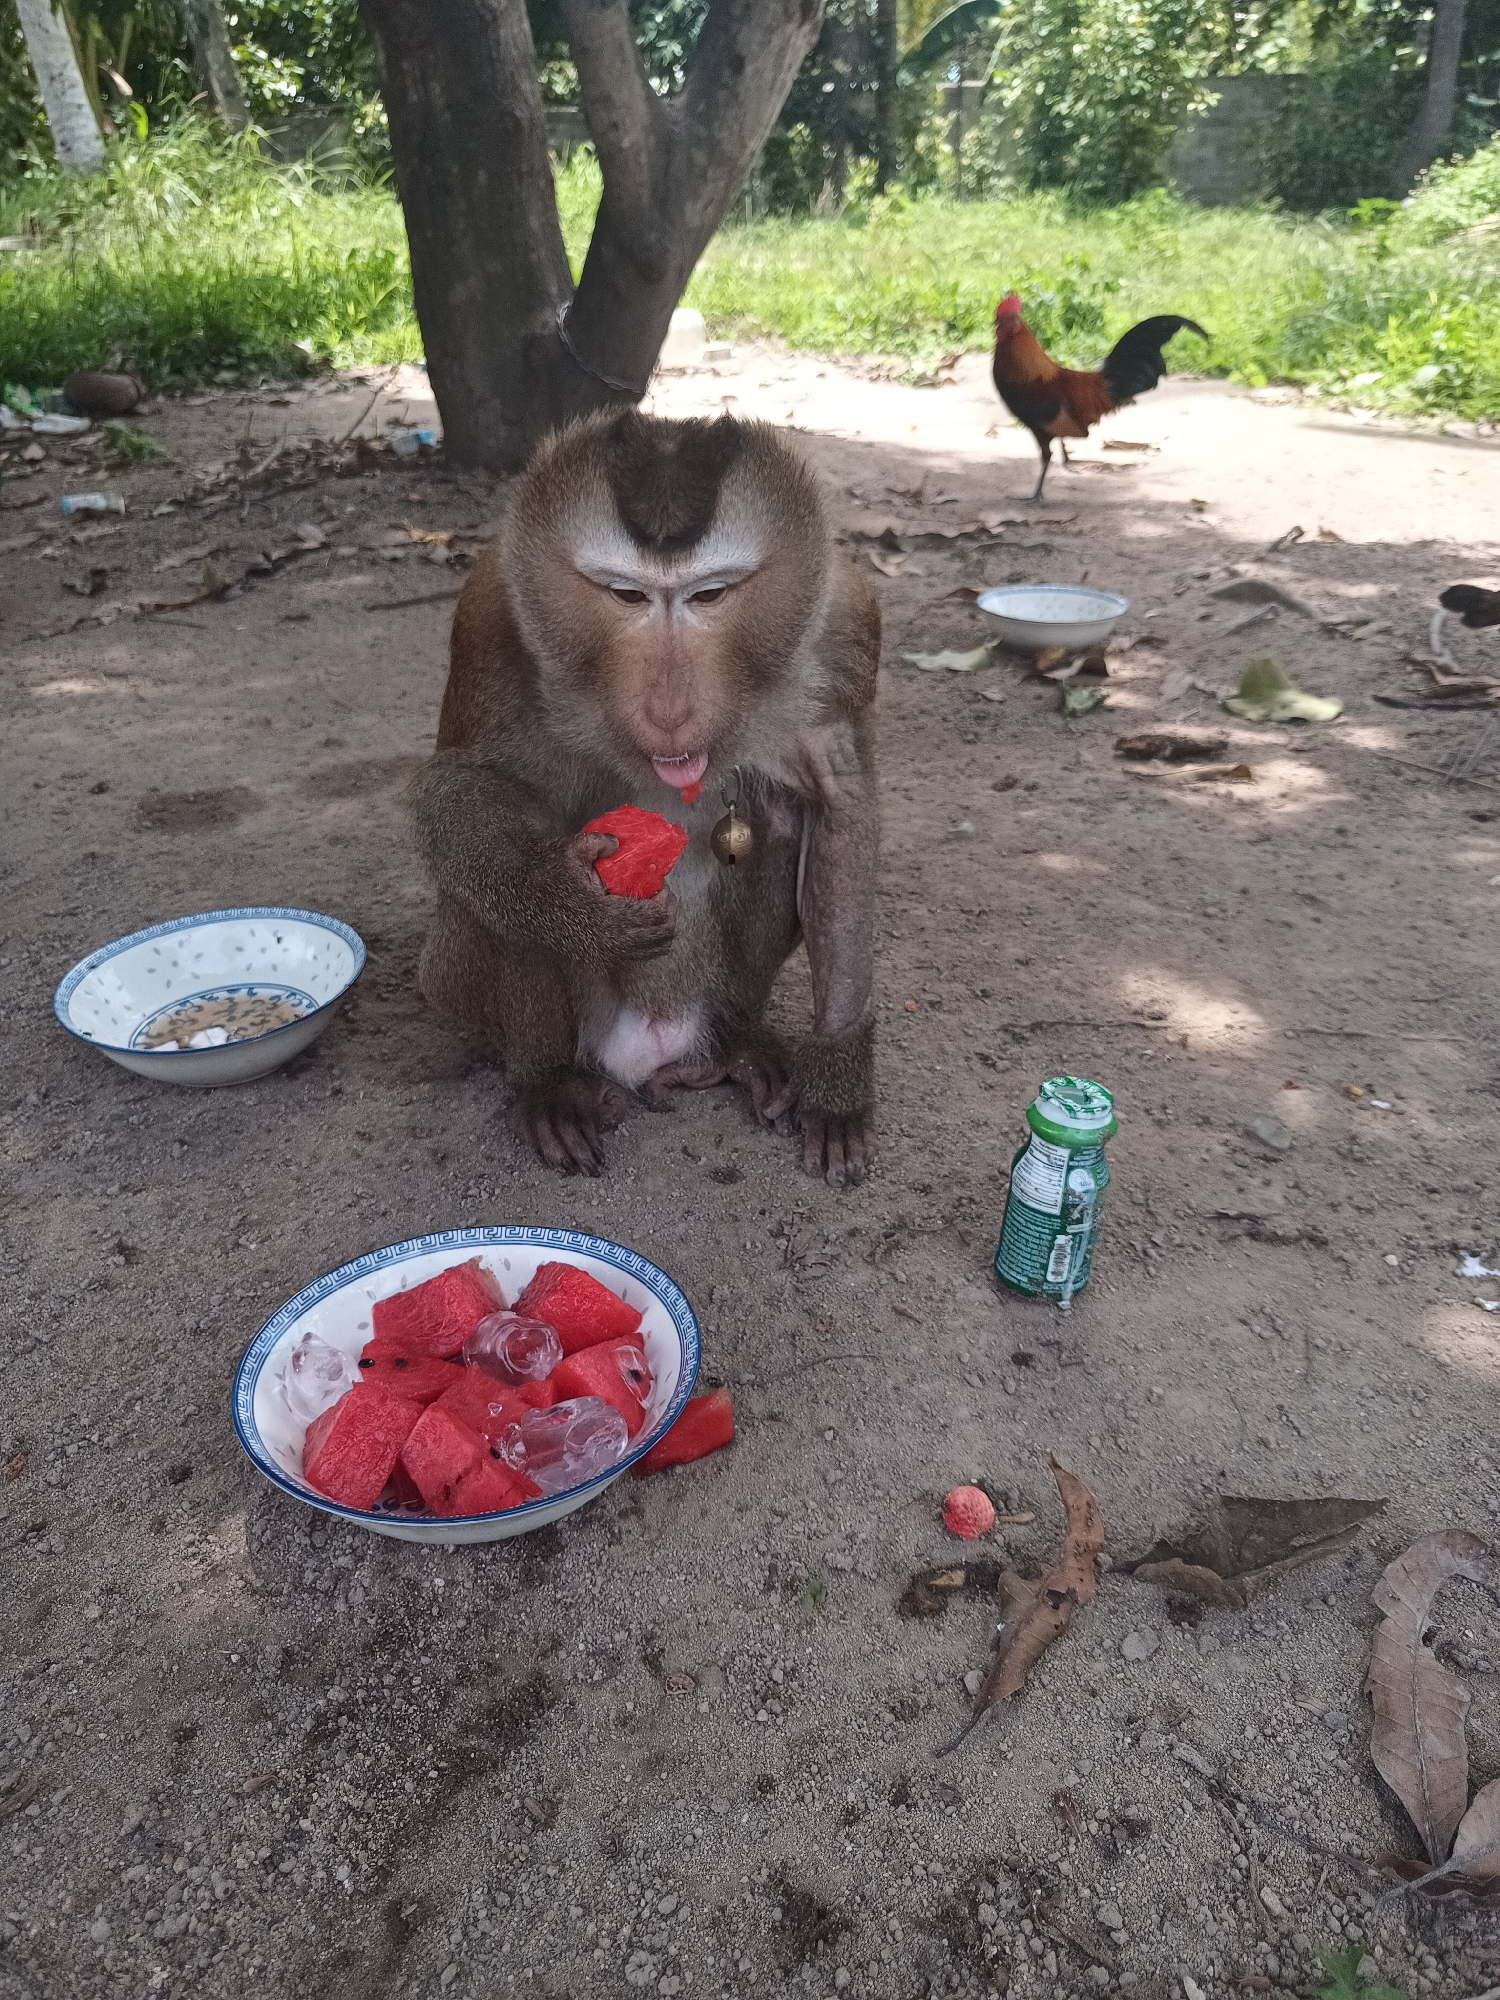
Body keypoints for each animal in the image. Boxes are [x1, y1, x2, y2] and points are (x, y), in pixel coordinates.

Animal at [411, 408, 881, 1186]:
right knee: (485, 870)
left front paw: (839, 1082)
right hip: (477, 990)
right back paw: (553, 1086)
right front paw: (564, 898)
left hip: (707, 995)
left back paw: (734, 1048)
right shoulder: (488, 612)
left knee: (781, 819)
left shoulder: (846, 625)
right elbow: (462, 787)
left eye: (709, 595)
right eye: (626, 595)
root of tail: (647, 1049)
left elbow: (837, 811)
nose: (669, 709)